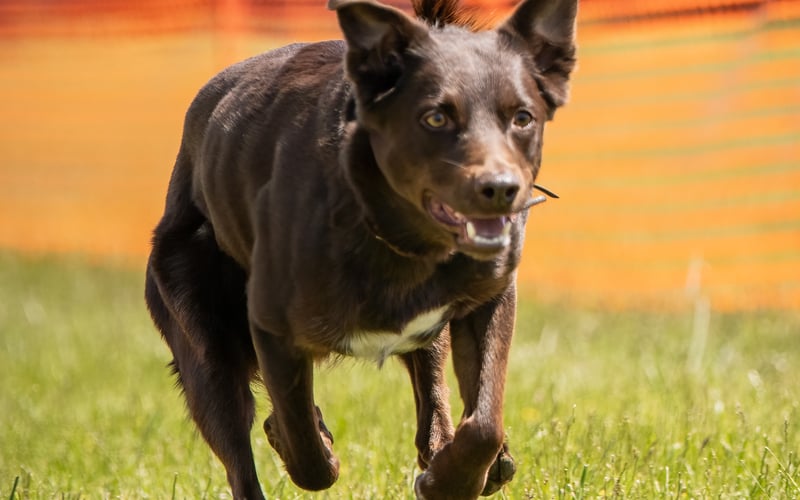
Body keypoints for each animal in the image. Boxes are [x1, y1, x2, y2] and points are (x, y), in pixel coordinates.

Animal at [145, 0, 576, 498]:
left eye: (522, 118)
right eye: (435, 118)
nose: (502, 190)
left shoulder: (489, 299)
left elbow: (484, 421)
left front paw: (449, 480)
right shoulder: (270, 327)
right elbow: (306, 451)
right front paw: (303, 442)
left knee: (434, 395)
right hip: (205, 348)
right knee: (240, 459)